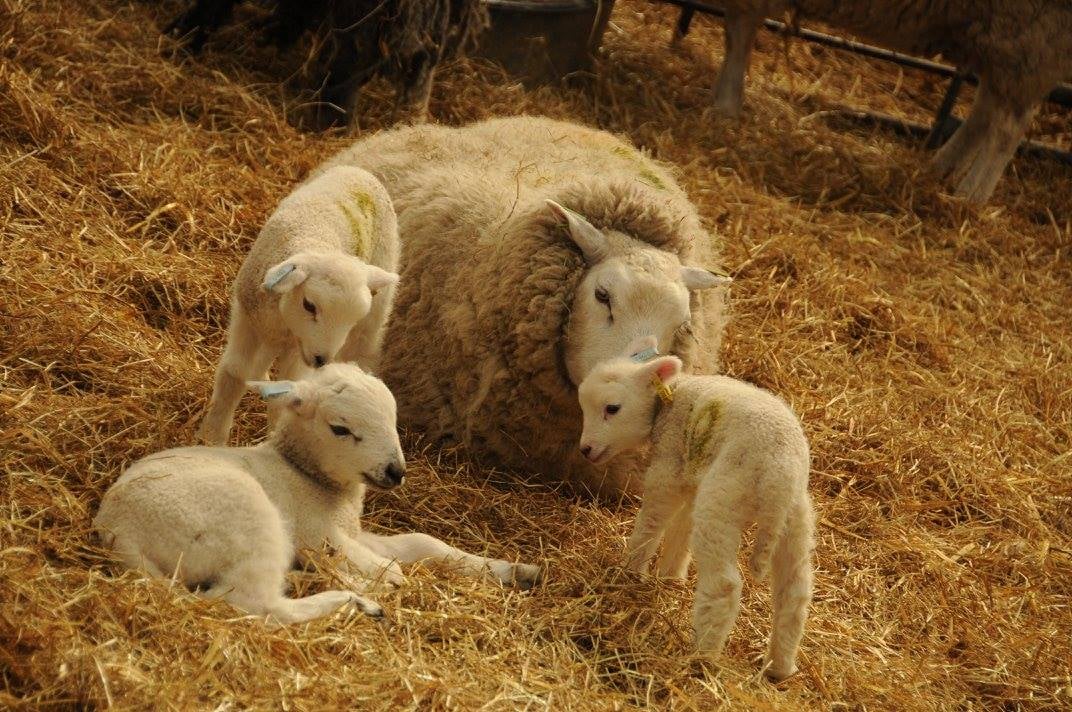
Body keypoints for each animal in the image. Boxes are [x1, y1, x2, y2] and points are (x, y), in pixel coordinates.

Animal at [95, 363, 542, 625]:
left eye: (394, 417)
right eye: (340, 428)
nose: (395, 471)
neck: (308, 477)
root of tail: (116, 530)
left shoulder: (354, 531)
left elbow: (423, 543)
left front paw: (517, 570)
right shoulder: (318, 532)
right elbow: (391, 569)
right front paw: (381, 584)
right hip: (246, 516)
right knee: (253, 602)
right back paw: (355, 601)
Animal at [197, 165, 400, 446]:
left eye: (351, 319)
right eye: (309, 305)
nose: (321, 360)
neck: (316, 241)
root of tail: (360, 172)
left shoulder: (296, 346)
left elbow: (288, 390)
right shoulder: (247, 317)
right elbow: (234, 372)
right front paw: (212, 436)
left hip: (376, 307)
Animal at [576, 336, 815, 681]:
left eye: (612, 408)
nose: (585, 449)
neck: (669, 400)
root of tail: (778, 474)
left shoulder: (667, 468)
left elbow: (652, 523)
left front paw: (631, 571)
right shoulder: (689, 474)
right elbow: (681, 528)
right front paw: (670, 577)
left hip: (723, 499)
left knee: (724, 586)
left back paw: (702, 656)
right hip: (795, 519)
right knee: (794, 592)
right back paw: (780, 667)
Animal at [705, 1, 1072, 202]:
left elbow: (738, 35)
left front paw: (725, 105)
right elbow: (737, 36)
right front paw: (725, 105)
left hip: (1033, 36)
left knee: (1009, 127)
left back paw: (969, 197)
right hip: (1005, 41)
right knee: (986, 111)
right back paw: (940, 169)